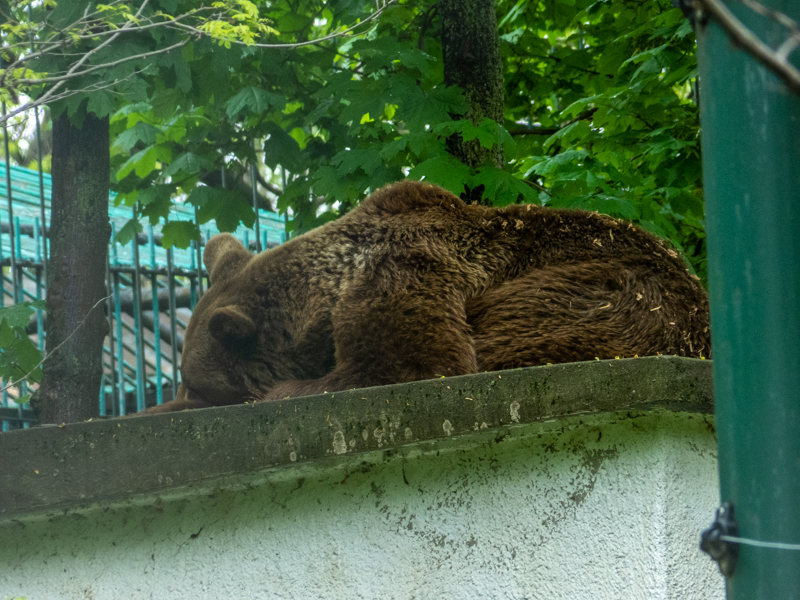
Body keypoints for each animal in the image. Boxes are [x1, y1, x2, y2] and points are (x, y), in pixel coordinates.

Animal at [144, 180, 710, 414]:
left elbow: (412, 362)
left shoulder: (403, 271)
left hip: (607, 294)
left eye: (200, 384)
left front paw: (284, 388)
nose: (181, 394)